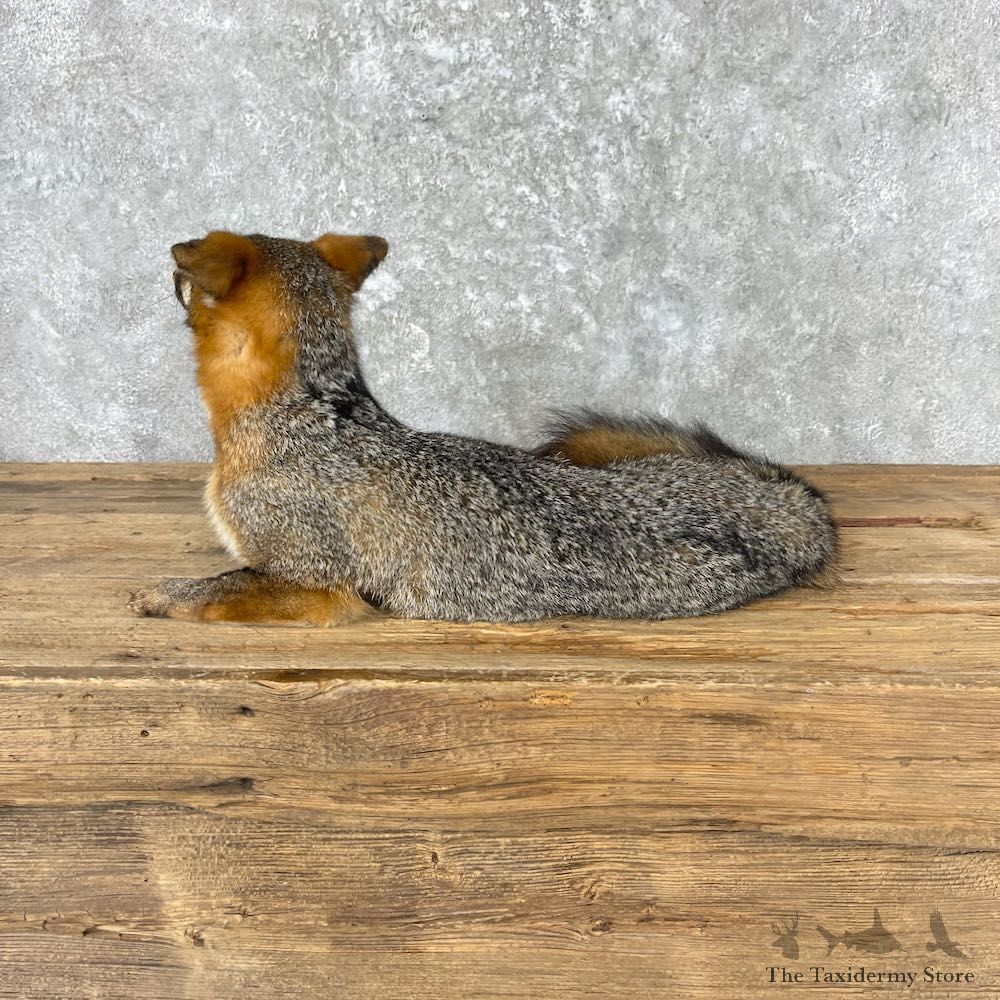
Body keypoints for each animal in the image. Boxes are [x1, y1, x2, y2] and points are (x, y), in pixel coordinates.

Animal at [127, 230, 837, 626]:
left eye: (184, 279)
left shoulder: (317, 582)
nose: (168, 267)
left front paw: (160, 593)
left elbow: (220, 586)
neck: (320, 411)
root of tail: (782, 505)